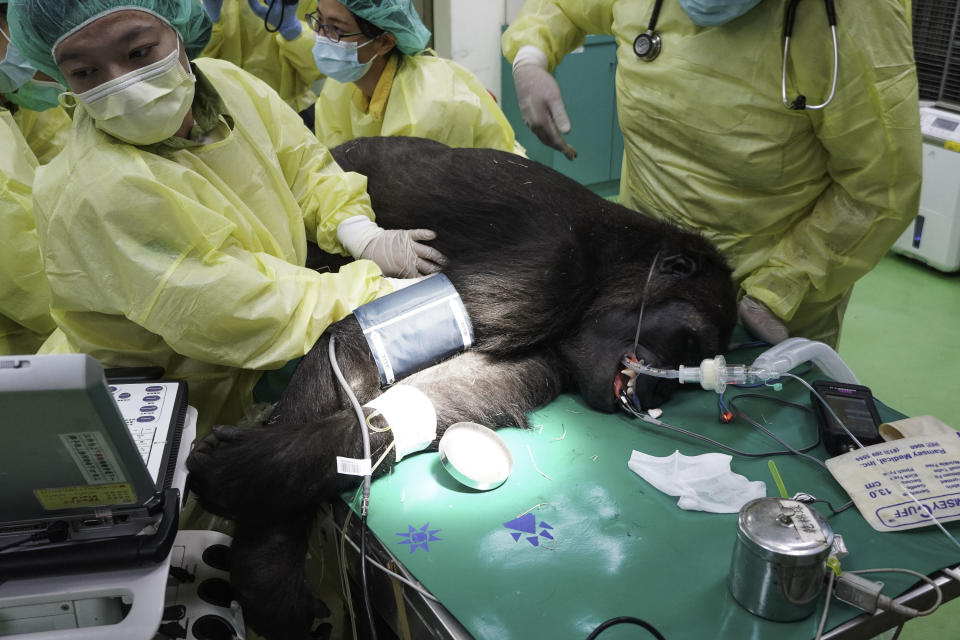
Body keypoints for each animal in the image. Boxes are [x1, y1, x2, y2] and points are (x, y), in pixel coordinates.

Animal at [189, 135, 744, 636]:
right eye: (687, 342)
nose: (656, 392)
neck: (610, 273)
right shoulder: (547, 270)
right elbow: (357, 340)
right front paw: (268, 559)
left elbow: (461, 385)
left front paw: (256, 499)